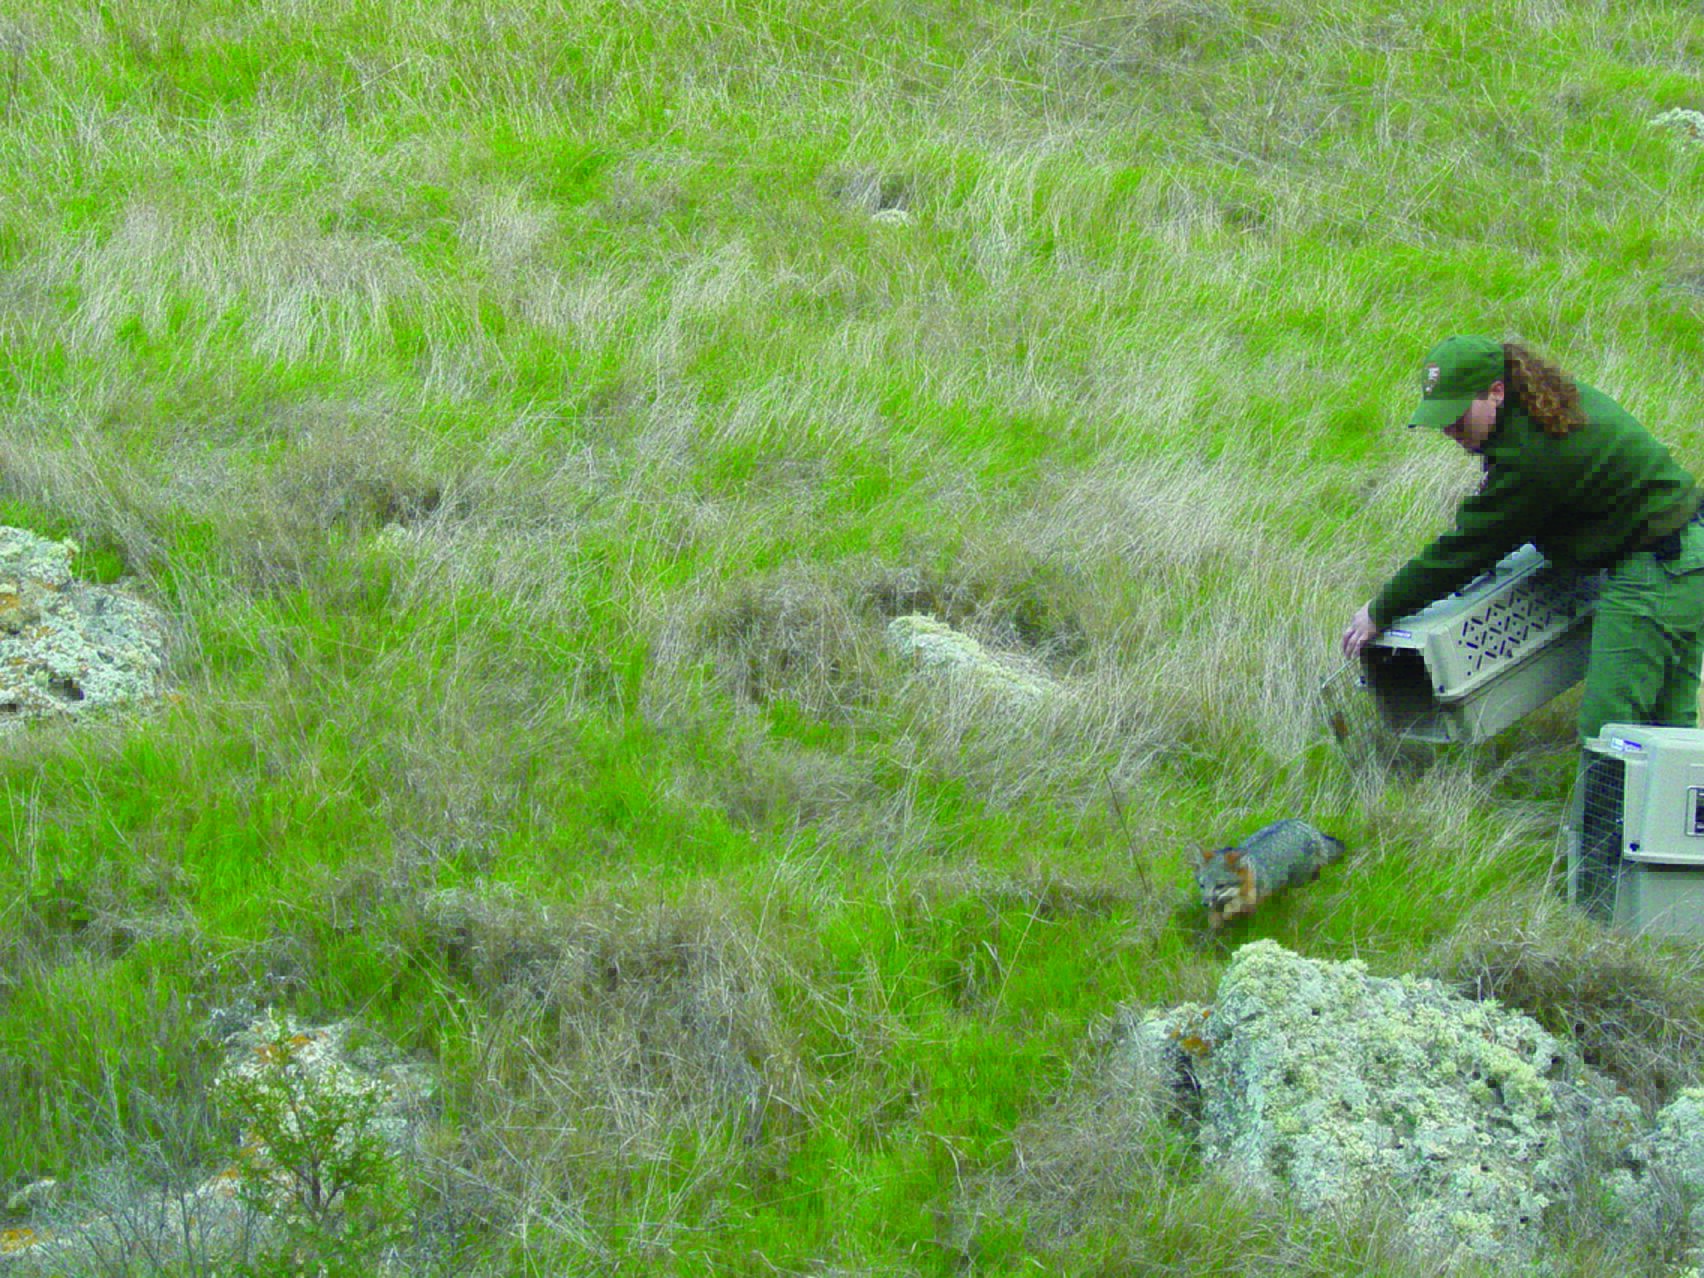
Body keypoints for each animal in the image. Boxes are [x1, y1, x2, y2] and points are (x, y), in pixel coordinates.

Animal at [1194, 819, 1346, 930]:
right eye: (1202, 885)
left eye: (1220, 886)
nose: (1205, 903)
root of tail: (1308, 828)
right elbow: (1216, 923)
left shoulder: (1251, 901)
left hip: (1300, 881)